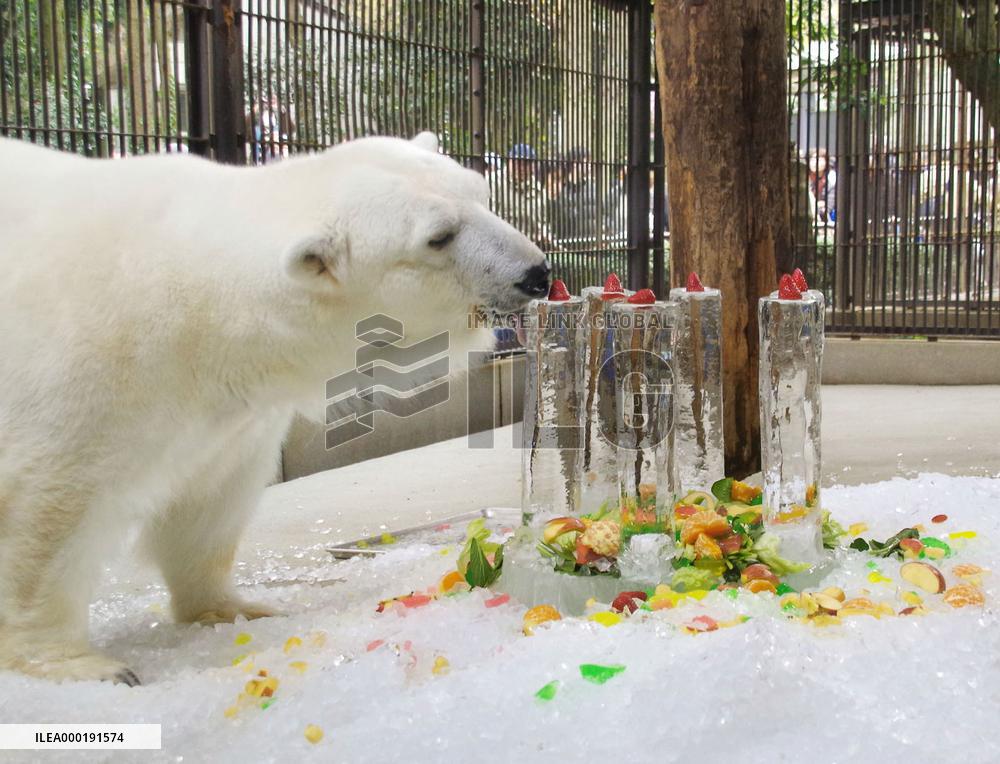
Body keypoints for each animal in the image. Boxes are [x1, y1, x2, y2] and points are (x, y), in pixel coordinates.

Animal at [0, 132, 550, 685]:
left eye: (481, 193)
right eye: (439, 237)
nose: (537, 273)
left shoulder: (227, 409)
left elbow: (215, 496)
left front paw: (232, 607)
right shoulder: (83, 372)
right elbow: (47, 508)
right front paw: (80, 665)